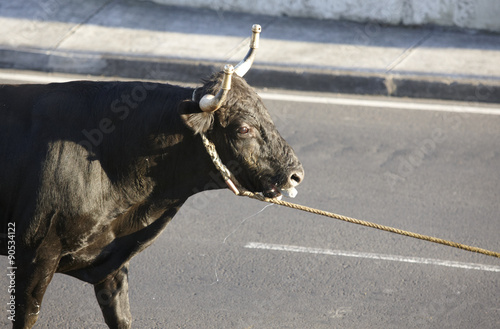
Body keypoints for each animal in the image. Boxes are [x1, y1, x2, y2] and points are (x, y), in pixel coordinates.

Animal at [0, 72, 304, 326]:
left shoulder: (112, 260)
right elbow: (27, 316)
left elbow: (120, 316)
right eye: (243, 129)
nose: (296, 174)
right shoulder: (36, 254)